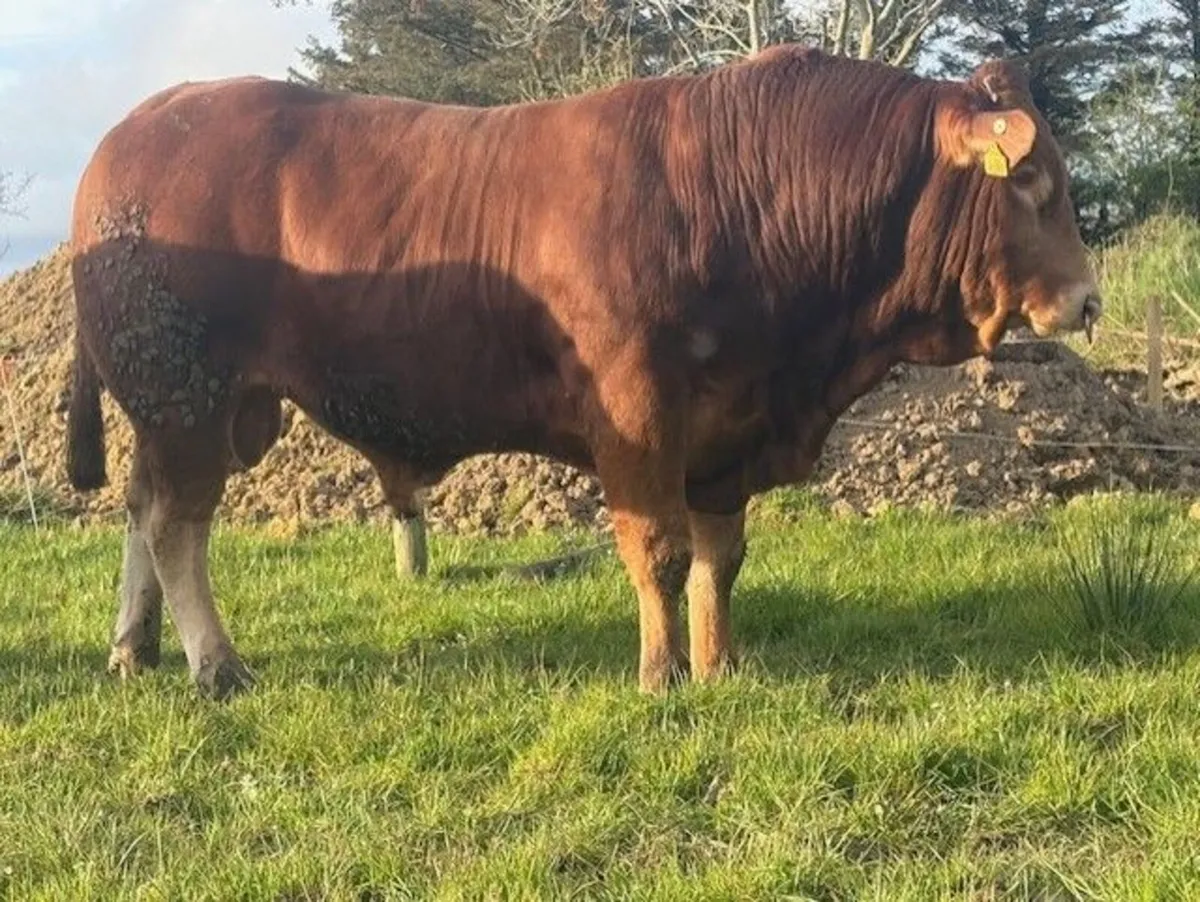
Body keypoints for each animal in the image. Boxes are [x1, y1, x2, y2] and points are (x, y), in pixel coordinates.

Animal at [65, 45, 1101, 700]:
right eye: (1033, 182)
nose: (1088, 300)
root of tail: (135, 129)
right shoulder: (640, 416)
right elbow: (661, 550)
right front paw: (662, 674)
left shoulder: (725, 431)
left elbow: (721, 559)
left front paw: (720, 663)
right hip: (186, 393)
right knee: (175, 524)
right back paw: (215, 664)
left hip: (188, 407)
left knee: (140, 508)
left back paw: (134, 649)